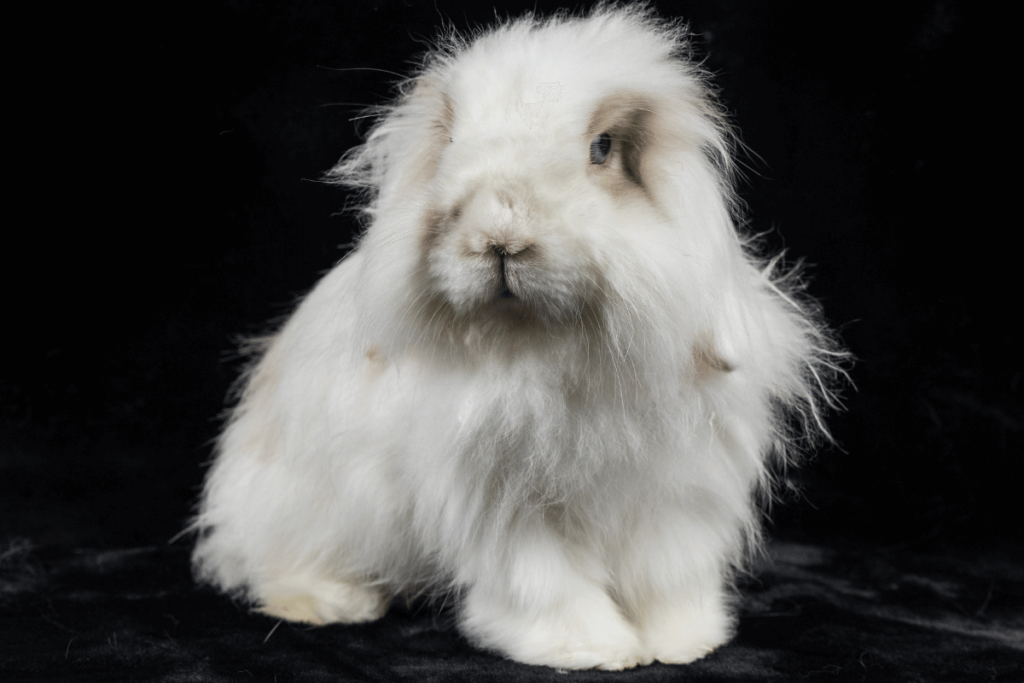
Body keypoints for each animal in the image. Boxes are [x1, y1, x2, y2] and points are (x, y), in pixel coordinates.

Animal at [192, 2, 847, 671]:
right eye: (451, 143)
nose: (499, 238)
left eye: (601, 148)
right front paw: (589, 649)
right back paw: (327, 604)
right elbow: (545, 581)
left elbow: (667, 574)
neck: (545, 346)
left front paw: (683, 642)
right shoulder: (507, 509)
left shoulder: (676, 496)